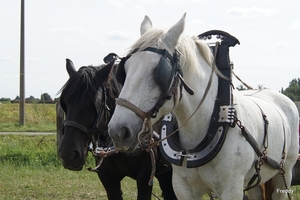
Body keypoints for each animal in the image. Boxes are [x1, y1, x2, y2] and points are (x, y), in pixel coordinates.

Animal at [107, 13, 298, 199]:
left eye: (158, 72)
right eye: (125, 70)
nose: (118, 131)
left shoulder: (232, 189)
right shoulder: (182, 189)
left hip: (285, 173)